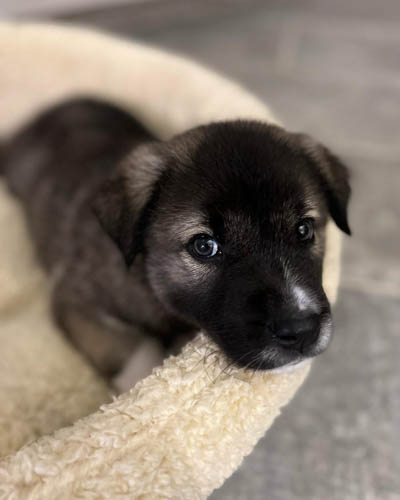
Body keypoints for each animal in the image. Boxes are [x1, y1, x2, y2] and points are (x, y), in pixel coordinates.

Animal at [0, 98, 350, 378]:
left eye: (304, 230)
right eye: (204, 246)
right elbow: (135, 353)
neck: (149, 279)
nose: (301, 331)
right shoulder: (76, 300)